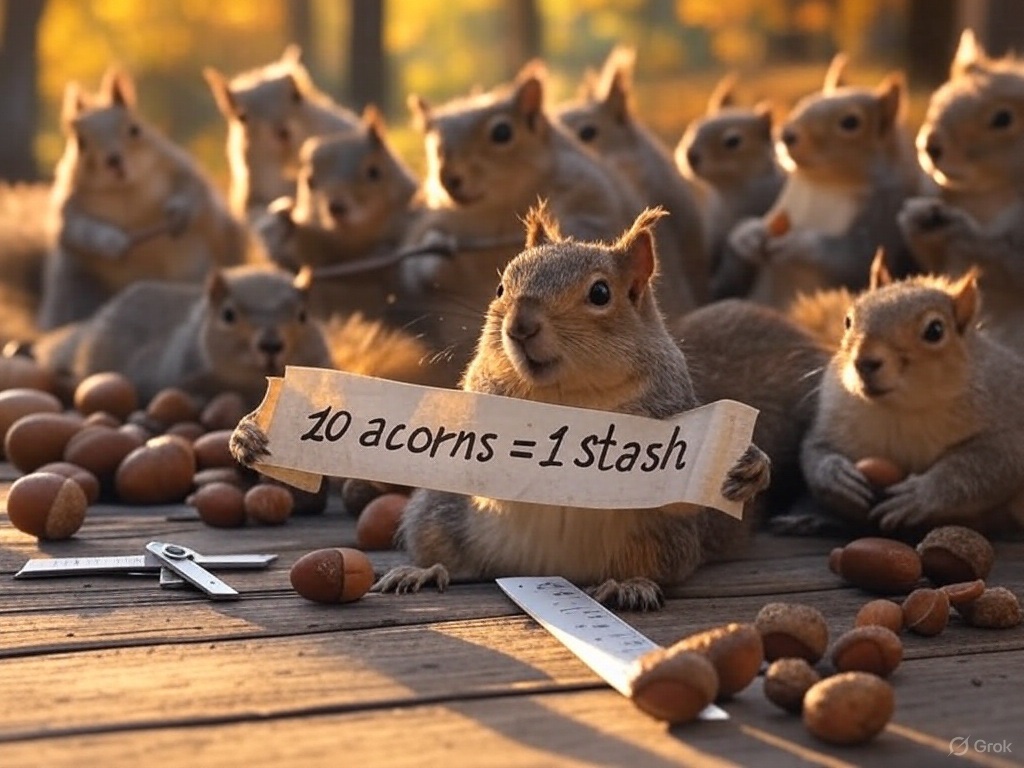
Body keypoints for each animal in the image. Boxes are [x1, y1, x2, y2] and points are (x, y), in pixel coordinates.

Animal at [39, 67, 249, 331]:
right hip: (75, 287)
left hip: (196, 263)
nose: (114, 162)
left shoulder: (180, 168)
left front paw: (178, 213)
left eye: (135, 129)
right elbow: (76, 228)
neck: (125, 189)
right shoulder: (68, 203)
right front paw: (112, 241)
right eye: (80, 142)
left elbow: (193, 192)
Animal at [360, 205, 767, 611]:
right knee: (450, 557)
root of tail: (546, 570)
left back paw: (630, 584)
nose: (520, 325)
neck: (562, 396)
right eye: (501, 287)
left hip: (662, 537)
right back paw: (422, 571)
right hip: (439, 514)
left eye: (601, 293)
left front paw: (751, 467)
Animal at [714, 57, 920, 310]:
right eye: (808, 101)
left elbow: (851, 258)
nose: (786, 134)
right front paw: (748, 234)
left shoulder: (884, 215)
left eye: (850, 122)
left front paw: (797, 244)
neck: (821, 183)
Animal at [798, 252, 1024, 535]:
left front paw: (920, 495)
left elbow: (986, 469)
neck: (899, 409)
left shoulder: (1006, 424)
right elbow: (814, 450)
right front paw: (835, 475)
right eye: (848, 320)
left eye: (935, 330)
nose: (864, 362)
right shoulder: (831, 421)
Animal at [897, 29, 1024, 358]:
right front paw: (915, 217)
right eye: (939, 98)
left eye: (1003, 119)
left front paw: (958, 227)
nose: (929, 145)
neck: (985, 199)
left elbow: (1003, 257)